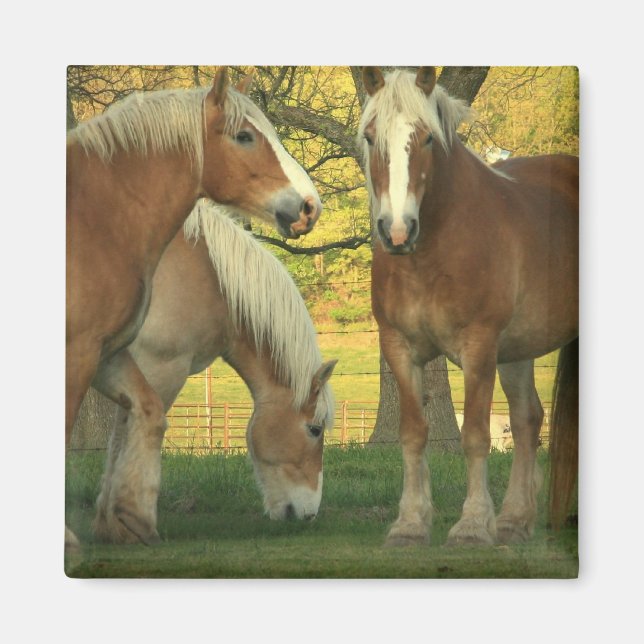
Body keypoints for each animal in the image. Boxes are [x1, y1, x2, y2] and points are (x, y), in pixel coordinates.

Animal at [66, 67, 323, 549]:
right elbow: (125, 434)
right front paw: (119, 521)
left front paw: (120, 520)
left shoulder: (113, 354)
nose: (308, 206)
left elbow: (136, 424)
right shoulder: (155, 364)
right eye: (315, 429)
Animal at [360, 67, 578, 547]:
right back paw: (515, 520)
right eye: (370, 136)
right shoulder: (399, 347)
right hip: (517, 349)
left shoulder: (479, 347)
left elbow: (475, 435)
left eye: (426, 138)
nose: (397, 231)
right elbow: (412, 434)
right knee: (527, 420)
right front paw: (410, 523)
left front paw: (474, 524)